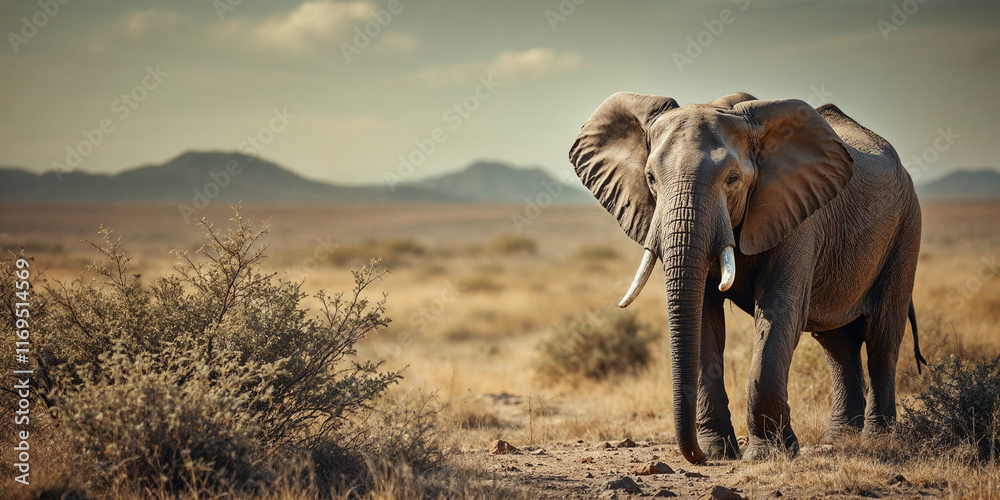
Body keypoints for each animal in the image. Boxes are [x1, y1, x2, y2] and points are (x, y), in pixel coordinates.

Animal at [568, 92, 927, 463]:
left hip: (906, 229)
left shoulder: (797, 212)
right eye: (651, 178)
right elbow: (703, 318)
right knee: (837, 343)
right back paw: (842, 439)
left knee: (882, 337)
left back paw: (878, 440)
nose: (697, 456)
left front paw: (767, 454)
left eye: (733, 179)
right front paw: (719, 451)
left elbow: (779, 310)